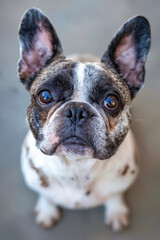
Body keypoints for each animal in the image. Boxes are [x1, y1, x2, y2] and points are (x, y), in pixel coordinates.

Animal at [18, 8, 151, 232]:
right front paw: (47, 210)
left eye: (111, 101)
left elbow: (115, 195)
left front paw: (117, 212)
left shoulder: (121, 183)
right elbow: (45, 195)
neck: (77, 166)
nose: (77, 111)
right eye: (45, 96)